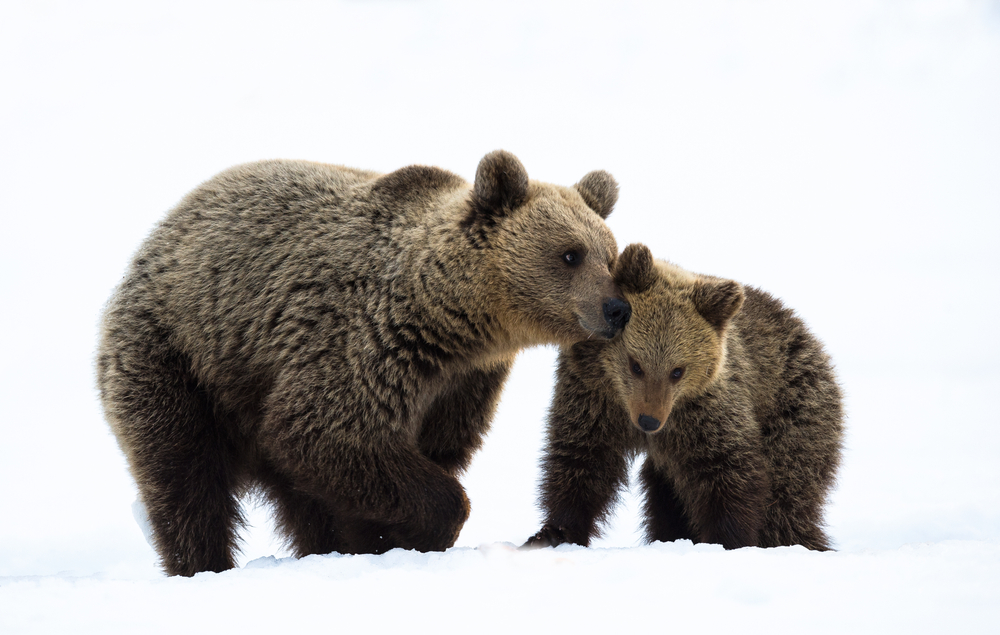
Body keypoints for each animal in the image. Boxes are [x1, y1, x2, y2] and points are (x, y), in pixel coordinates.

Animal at [97, 150, 628, 576]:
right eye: (570, 254)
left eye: (611, 256)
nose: (617, 309)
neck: (452, 320)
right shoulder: (362, 338)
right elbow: (324, 430)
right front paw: (422, 527)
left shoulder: (461, 383)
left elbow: (416, 453)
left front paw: (382, 538)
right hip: (179, 358)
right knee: (187, 477)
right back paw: (202, 563)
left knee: (295, 496)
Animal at [524, 246, 844, 556]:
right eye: (635, 364)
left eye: (678, 371)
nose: (649, 420)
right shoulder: (593, 399)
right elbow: (583, 460)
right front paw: (554, 533)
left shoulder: (705, 412)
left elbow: (728, 471)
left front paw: (726, 541)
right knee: (667, 499)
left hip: (794, 412)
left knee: (785, 500)